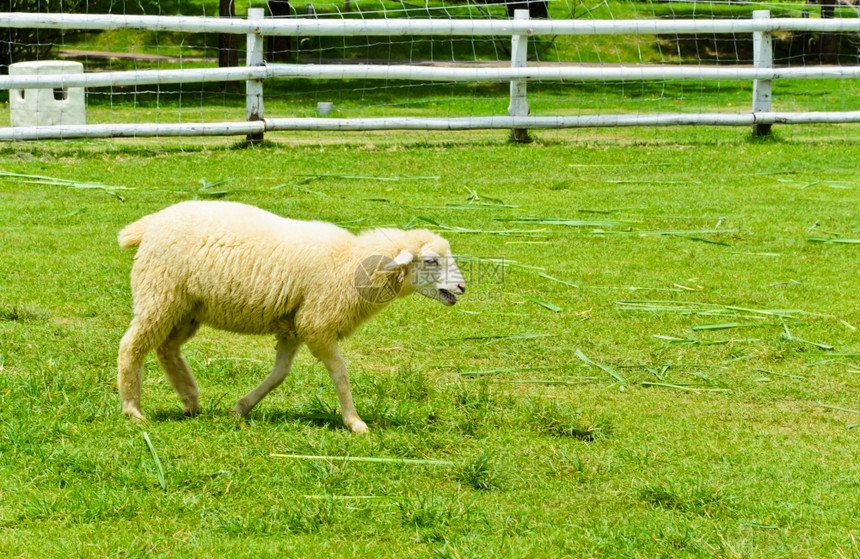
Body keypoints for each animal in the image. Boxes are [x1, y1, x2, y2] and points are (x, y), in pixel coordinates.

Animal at [116, 201, 464, 434]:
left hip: (187, 308)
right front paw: (355, 422)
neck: (350, 264)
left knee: (166, 348)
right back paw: (133, 409)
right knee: (131, 345)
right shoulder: (317, 324)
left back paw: (190, 400)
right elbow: (340, 374)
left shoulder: (293, 327)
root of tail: (150, 224)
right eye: (430, 261)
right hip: (159, 293)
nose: (462, 286)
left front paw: (241, 408)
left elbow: (279, 374)